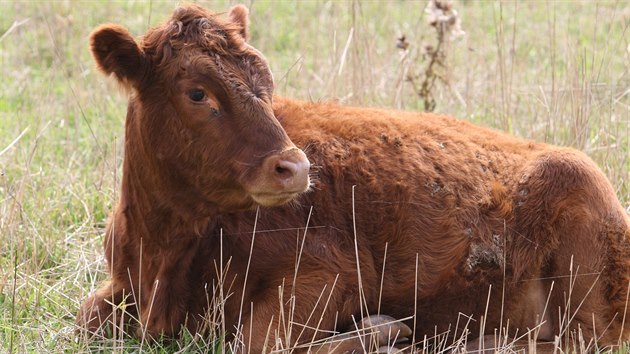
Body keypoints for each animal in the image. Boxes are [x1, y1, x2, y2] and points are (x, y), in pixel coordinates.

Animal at [79, 4, 630, 352]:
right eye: (197, 93)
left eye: (267, 84)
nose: (295, 167)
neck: (163, 250)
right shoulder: (120, 284)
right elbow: (86, 319)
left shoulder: (329, 273)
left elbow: (256, 344)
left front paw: (384, 333)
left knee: (573, 342)